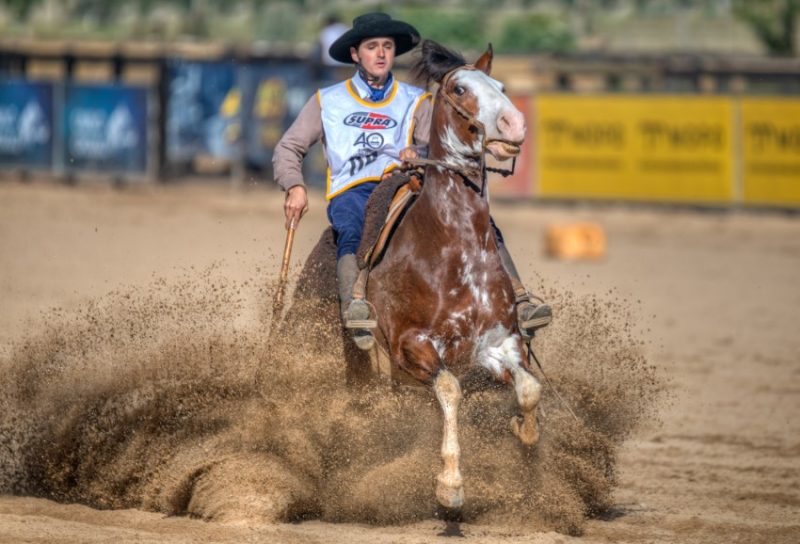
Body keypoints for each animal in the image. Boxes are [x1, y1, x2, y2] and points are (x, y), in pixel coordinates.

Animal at [364, 41, 544, 506]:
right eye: (460, 88)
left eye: (501, 86)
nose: (515, 123)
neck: (452, 247)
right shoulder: (411, 345)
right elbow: (449, 389)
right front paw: (449, 483)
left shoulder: (497, 342)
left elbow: (529, 388)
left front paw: (524, 432)